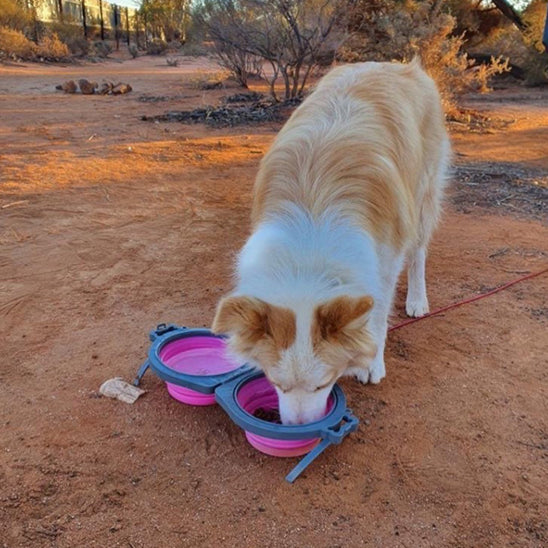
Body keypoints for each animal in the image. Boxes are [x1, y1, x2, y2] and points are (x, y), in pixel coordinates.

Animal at [211, 62, 450, 426]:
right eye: (275, 382)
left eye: (323, 384)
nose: (298, 429)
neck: (309, 246)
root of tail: (400, 65)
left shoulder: (385, 256)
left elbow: (378, 313)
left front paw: (372, 363)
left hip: (422, 194)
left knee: (419, 250)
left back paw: (417, 300)